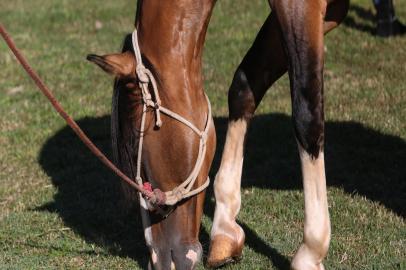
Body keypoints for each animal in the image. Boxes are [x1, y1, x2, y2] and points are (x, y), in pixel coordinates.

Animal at [88, 0, 348, 270]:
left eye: (140, 162)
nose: (160, 260)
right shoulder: (328, 10)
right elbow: (245, 85)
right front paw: (224, 227)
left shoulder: (301, 6)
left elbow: (307, 113)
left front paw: (311, 251)